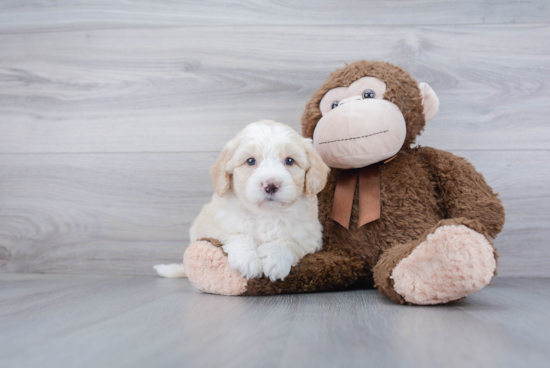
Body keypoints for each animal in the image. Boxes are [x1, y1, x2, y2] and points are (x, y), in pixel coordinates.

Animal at [155, 121, 330, 282]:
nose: (271, 185)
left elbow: (289, 241)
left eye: (289, 161)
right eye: (250, 161)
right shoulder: (215, 227)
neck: (265, 213)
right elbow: (237, 234)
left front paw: (275, 259)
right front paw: (248, 260)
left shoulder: (310, 237)